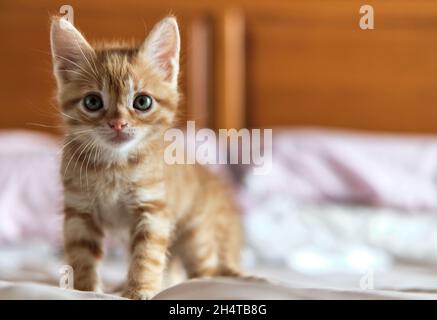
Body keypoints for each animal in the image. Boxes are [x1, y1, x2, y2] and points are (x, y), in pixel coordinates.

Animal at [51, 16, 242, 298]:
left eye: (142, 102)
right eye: (92, 102)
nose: (118, 124)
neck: (114, 165)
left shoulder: (152, 209)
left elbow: (146, 256)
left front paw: (139, 290)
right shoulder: (79, 210)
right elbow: (81, 255)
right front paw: (85, 290)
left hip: (197, 236)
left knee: (206, 269)